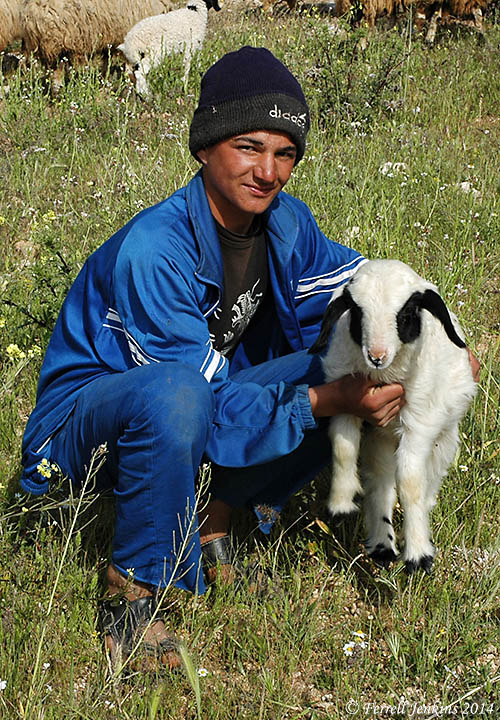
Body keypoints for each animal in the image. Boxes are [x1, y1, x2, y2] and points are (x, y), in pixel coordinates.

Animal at [309, 259, 477, 574]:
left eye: (407, 313)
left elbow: (410, 483)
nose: (376, 356)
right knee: (380, 481)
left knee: (424, 482)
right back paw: (381, 545)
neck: (383, 377)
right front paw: (341, 502)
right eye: (357, 312)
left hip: (443, 439)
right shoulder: (345, 401)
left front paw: (419, 555)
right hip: (380, 439)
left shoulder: (419, 422)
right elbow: (342, 449)